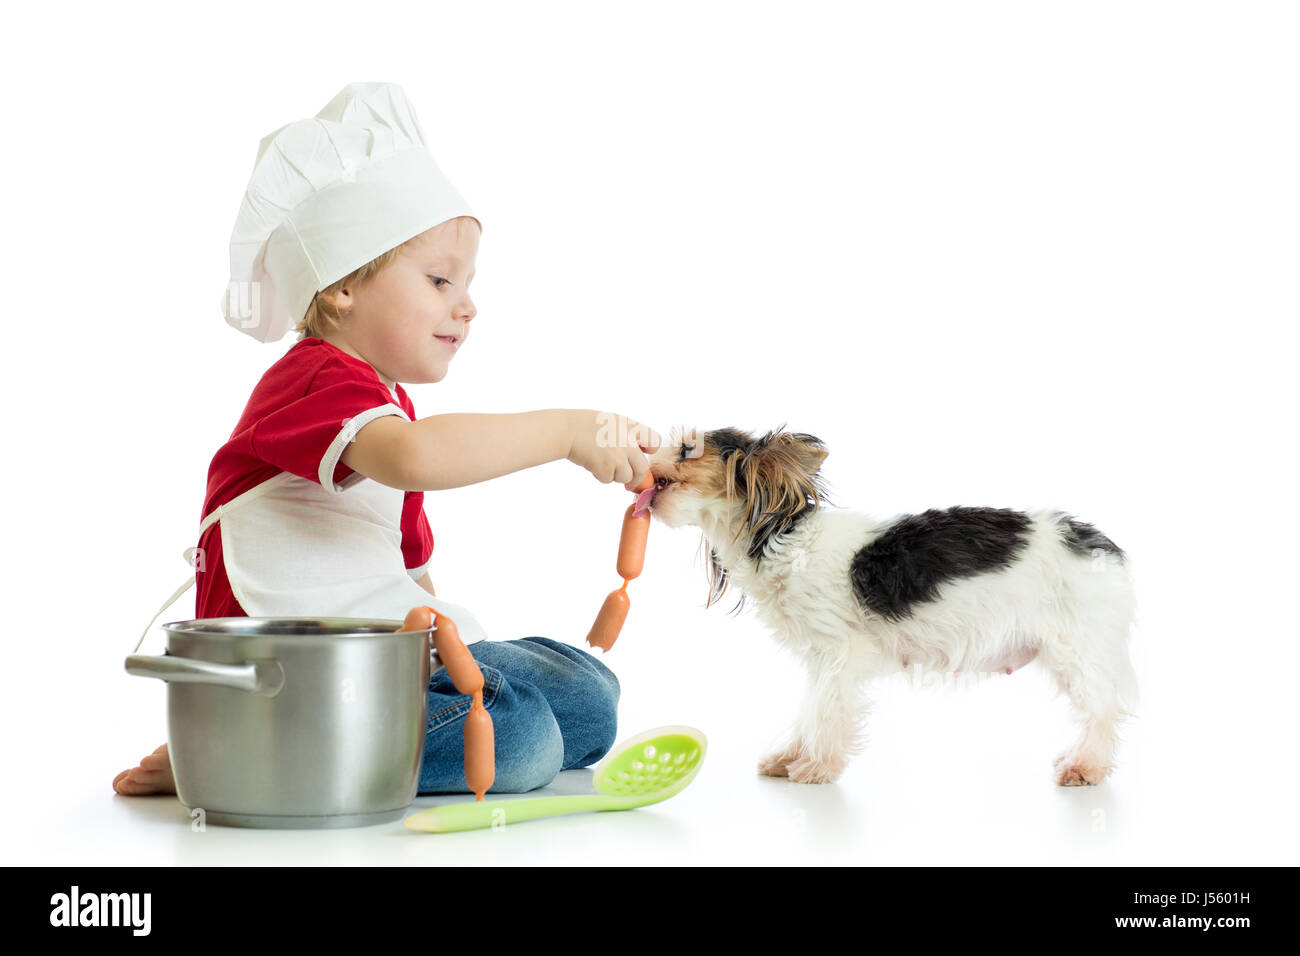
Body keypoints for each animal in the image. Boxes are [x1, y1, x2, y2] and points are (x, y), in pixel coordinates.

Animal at [639, 426, 1138, 785]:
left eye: (686, 448)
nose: (641, 452)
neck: (781, 537)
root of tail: (1101, 545)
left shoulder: (841, 652)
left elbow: (826, 710)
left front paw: (816, 767)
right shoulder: (820, 659)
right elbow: (810, 708)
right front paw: (790, 757)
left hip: (1077, 647)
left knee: (1102, 709)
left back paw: (1086, 766)